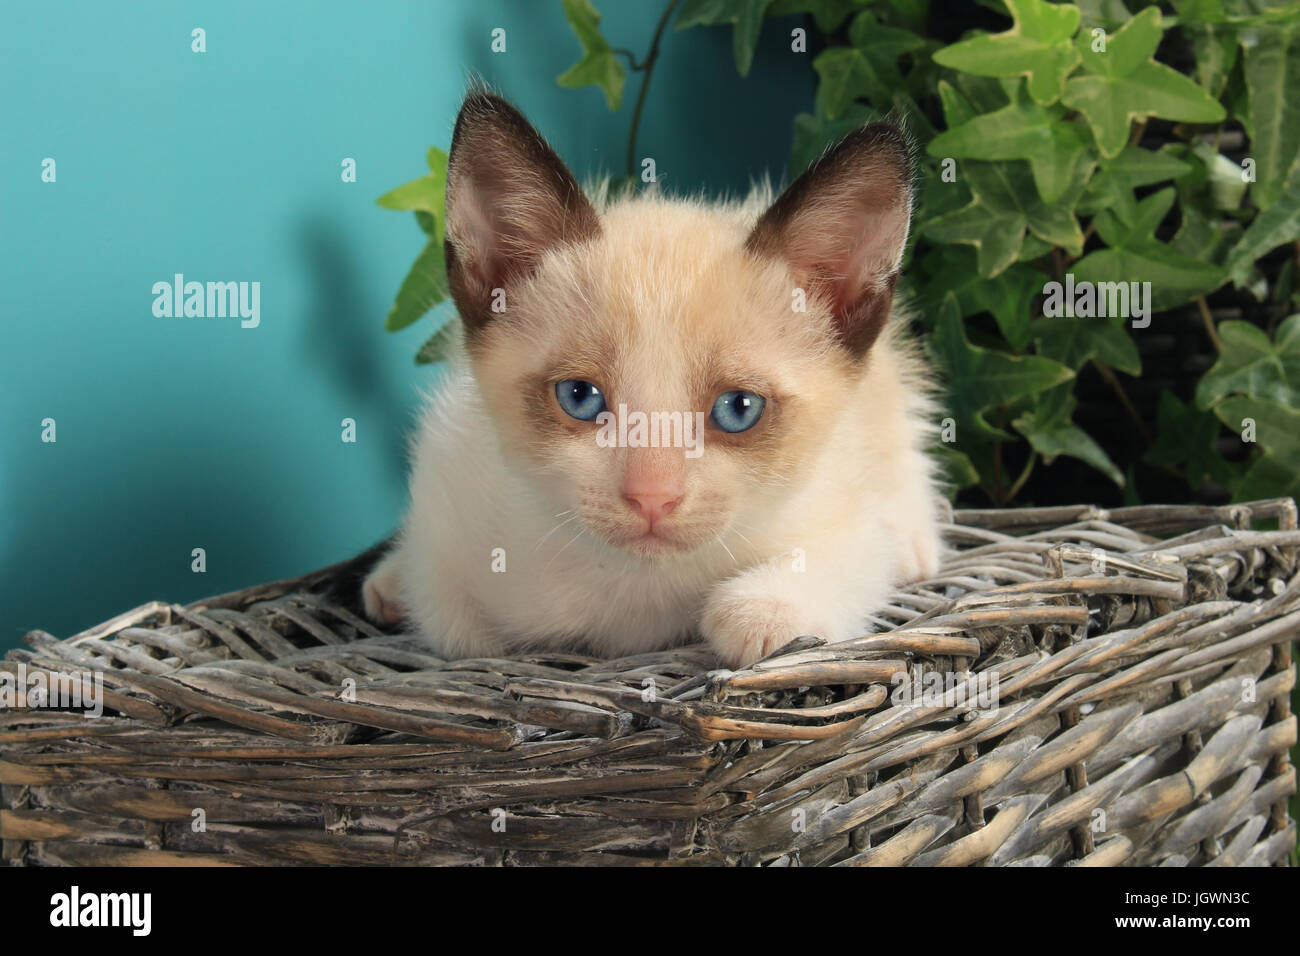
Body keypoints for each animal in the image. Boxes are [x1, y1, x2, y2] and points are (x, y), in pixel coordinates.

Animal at [366, 93, 946, 671]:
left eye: (739, 408)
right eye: (579, 397)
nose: (652, 498)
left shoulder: (845, 514)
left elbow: (846, 565)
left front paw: (761, 611)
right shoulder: (446, 496)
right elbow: (456, 629)